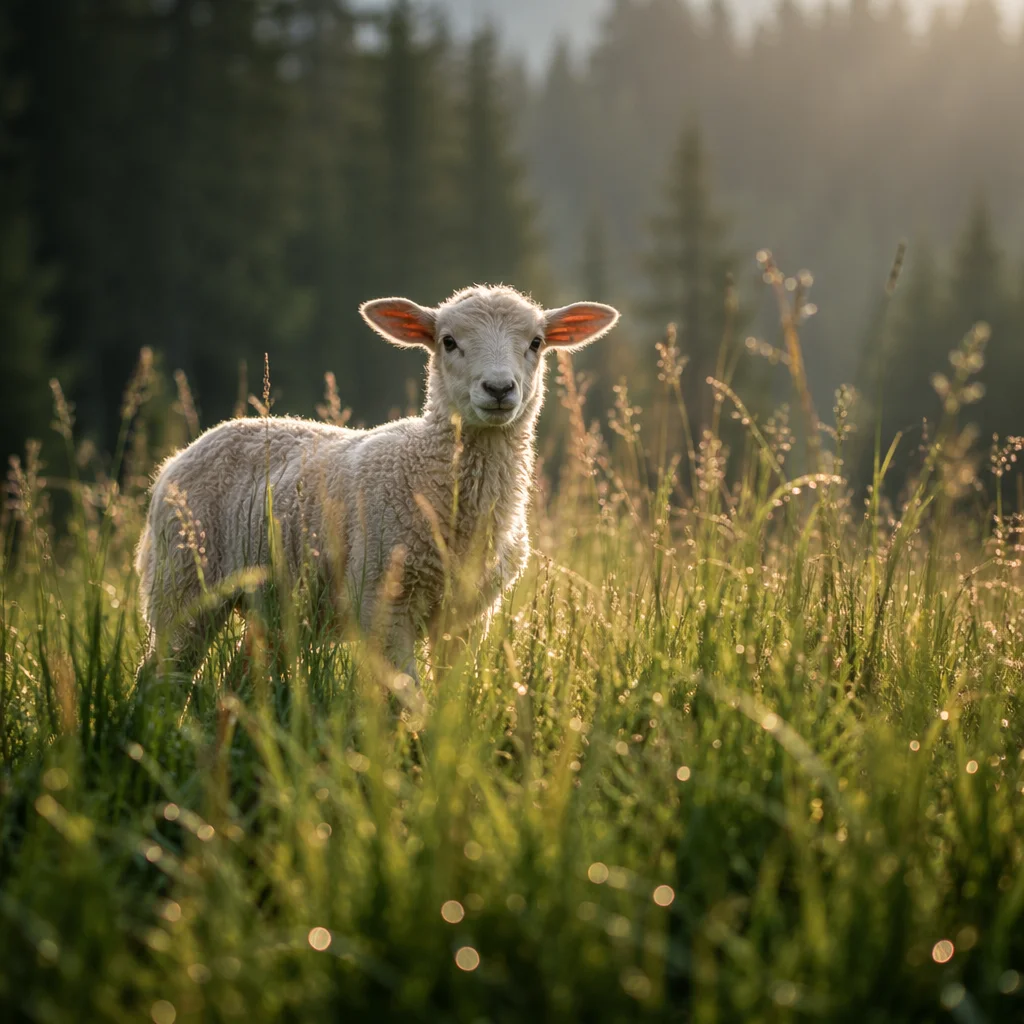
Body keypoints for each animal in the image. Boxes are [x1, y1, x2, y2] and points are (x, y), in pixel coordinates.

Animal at [135, 284, 620, 691]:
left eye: (536, 343)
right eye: (448, 341)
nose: (499, 388)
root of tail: (184, 452)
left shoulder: (467, 618)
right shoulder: (383, 602)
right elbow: (407, 699)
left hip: (272, 606)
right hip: (181, 583)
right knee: (160, 673)